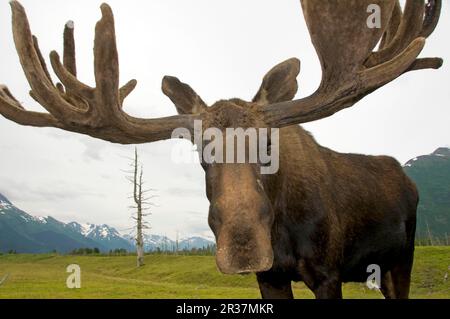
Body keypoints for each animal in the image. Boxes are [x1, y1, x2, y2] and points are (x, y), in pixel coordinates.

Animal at [0, 0, 442, 300]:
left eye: (269, 144)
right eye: (201, 152)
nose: (243, 249)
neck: (284, 231)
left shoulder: (328, 273)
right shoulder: (272, 277)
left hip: (399, 261)